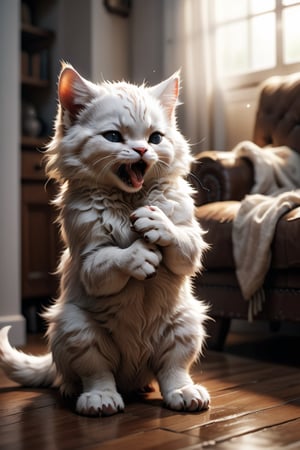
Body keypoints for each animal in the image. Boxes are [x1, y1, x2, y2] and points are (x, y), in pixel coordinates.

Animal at [0, 65, 210, 416]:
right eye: (113, 136)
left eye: (155, 137)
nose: (142, 150)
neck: (129, 200)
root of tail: (132, 376)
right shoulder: (89, 259)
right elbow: (113, 259)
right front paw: (139, 254)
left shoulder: (191, 243)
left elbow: (180, 242)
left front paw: (157, 223)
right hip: (76, 328)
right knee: (96, 375)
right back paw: (98, 400)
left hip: (186, 322)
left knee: (172, 371)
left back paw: (184, 393)